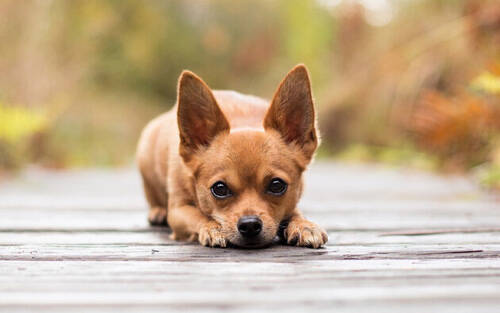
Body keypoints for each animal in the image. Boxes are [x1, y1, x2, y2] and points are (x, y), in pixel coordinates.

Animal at [136, 64, 328, 247]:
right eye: (219, 189)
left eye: (277, 185)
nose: (250, 224)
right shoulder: (178, 211)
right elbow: (200, 216)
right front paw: (213, 228)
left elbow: (295, 212)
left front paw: (304, 225)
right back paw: (158, 211)